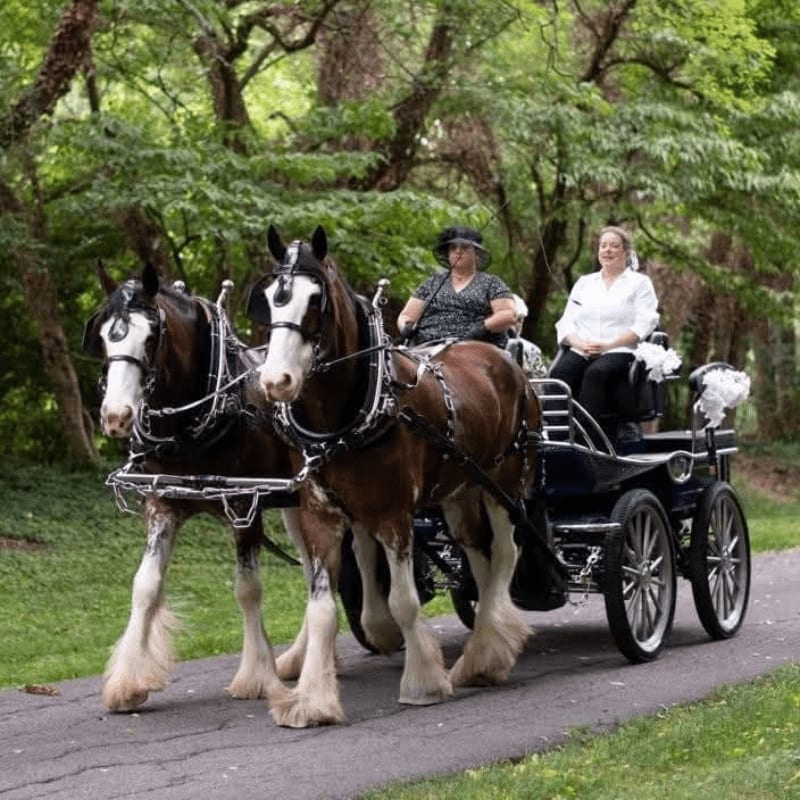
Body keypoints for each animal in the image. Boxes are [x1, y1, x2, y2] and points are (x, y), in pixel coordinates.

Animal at [82, 262, 314, 714]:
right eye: (103, 335)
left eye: (150, 337)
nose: (116, 416)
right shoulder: (163, 503)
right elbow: (145, 586)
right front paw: (128, 683)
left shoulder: (243, 502)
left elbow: (248, 589)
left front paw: (255, 675)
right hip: (294, 506)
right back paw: (299, 656)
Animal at [247, 224, 543, 726]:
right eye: (270, 298)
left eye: (314, 299)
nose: (276, 382)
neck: (347, 414)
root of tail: (505, 362)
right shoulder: (321, 513)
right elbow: (322, 609)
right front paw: (312, 700)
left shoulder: (393, 512)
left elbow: (403, 602)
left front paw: (422, 681)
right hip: (458, 492)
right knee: (478, 559)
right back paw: (482, 654)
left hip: (504, 481)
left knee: (506, 554)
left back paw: (491, 648)